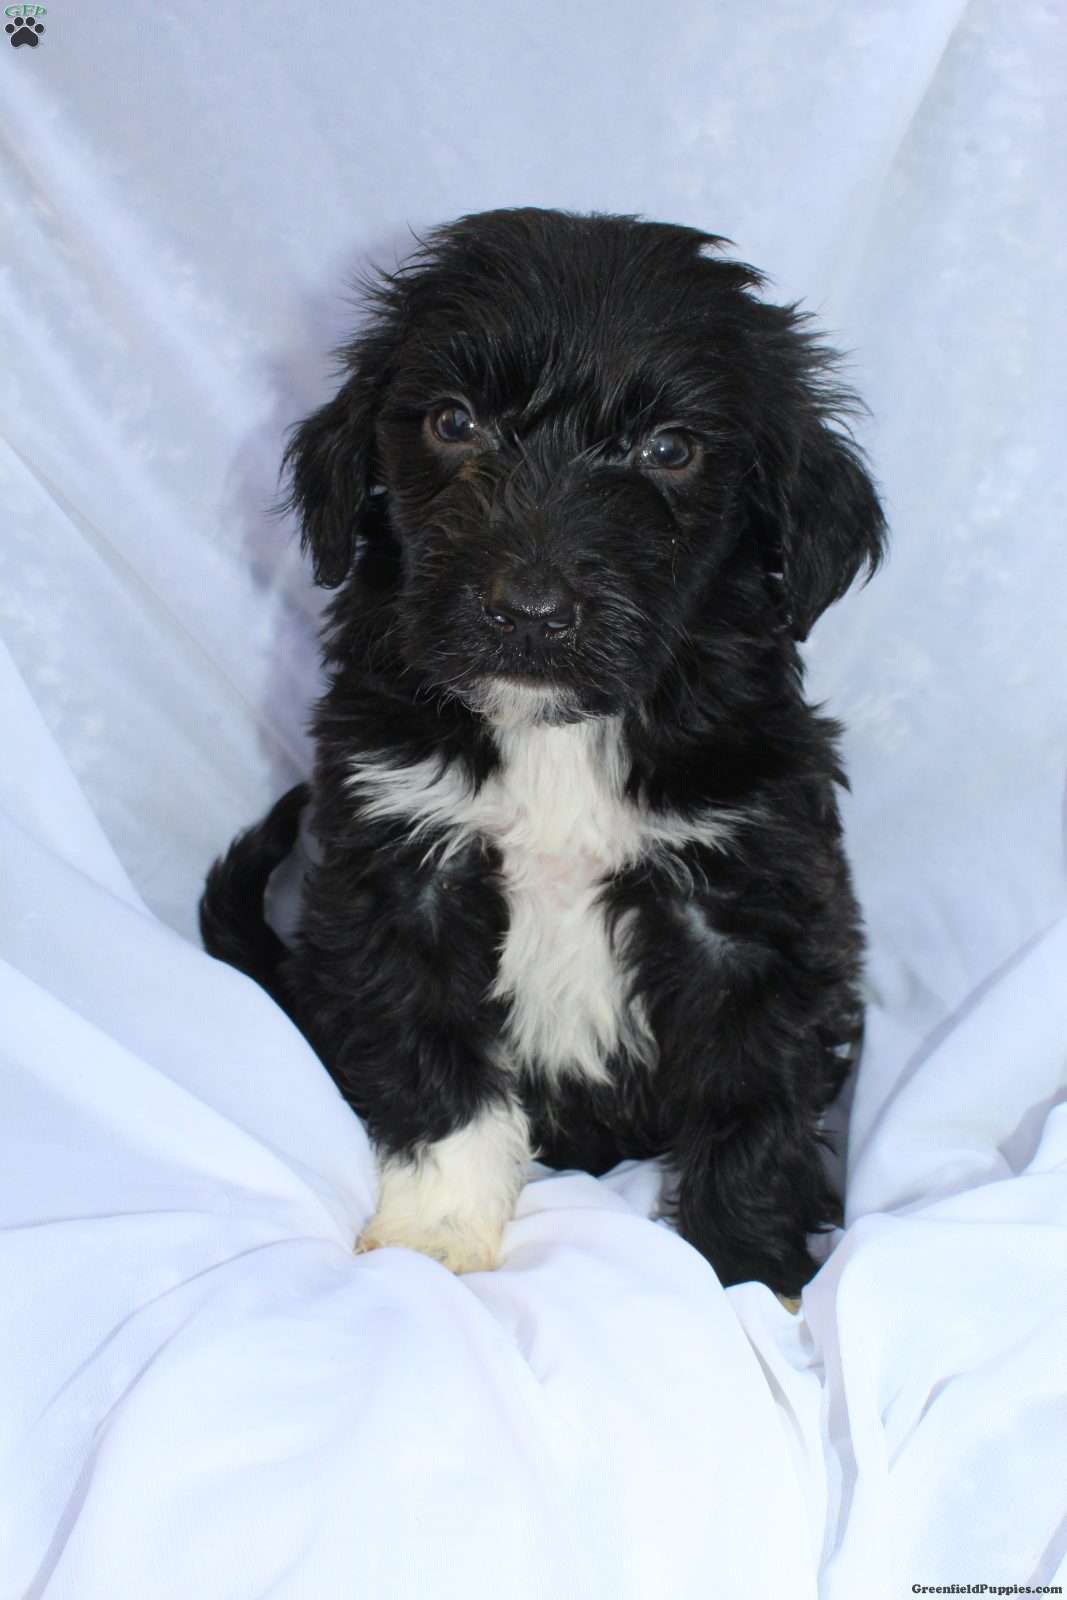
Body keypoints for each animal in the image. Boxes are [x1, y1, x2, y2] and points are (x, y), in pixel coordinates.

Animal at [200, 207, 885, 1297]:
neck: (558, 732)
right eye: (452, 423)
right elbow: (436, 1069)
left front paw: (751, 1275)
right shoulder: (404, 874)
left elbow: (753, 1097)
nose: (528, 610)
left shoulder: (752, 896)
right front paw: (437, 1235)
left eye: (668, 448)